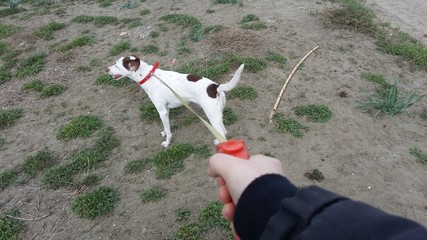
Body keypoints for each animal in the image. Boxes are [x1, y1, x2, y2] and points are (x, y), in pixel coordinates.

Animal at [105, 55, 246, 147]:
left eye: (117, 65)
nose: (106, 69)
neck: (149, 76)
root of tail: (215, 87)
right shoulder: (165, 110)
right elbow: (166, 128)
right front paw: (164, 132)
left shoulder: (162, 111)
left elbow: (169, 131)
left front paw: (167, 143)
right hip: (217, 115)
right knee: (224, 131)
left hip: (212, 116)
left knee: (222, 133)